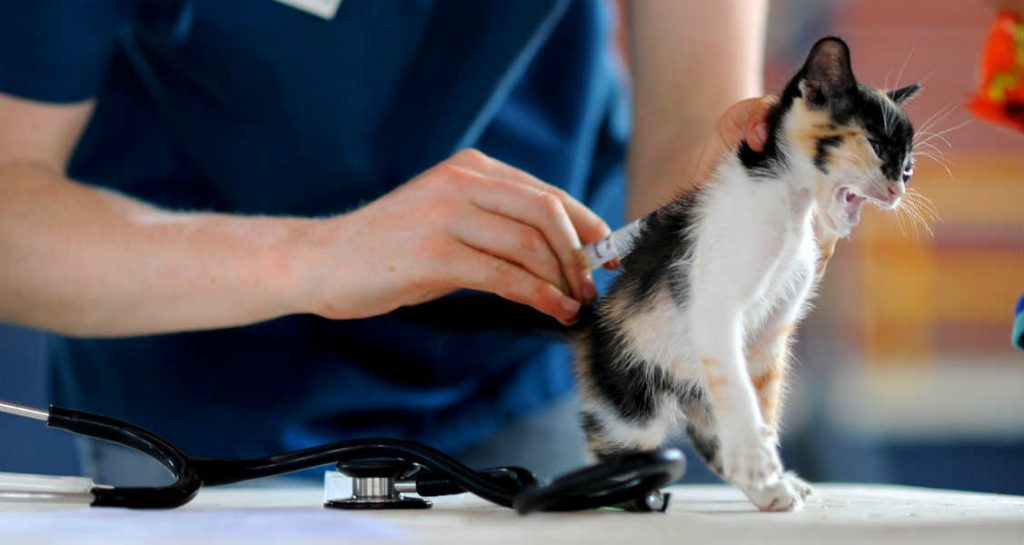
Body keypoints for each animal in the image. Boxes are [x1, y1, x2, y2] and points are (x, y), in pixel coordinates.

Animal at [577, 37, 921, 510]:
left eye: (908, 166)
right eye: (875, 143)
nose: (898, 189)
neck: (788, 202)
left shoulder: (771, 330)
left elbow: (762, 399)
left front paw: (769, 474)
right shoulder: (715, 308)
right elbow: (738, 388)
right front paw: (760, 463)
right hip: (631, 397)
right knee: (614, 446)